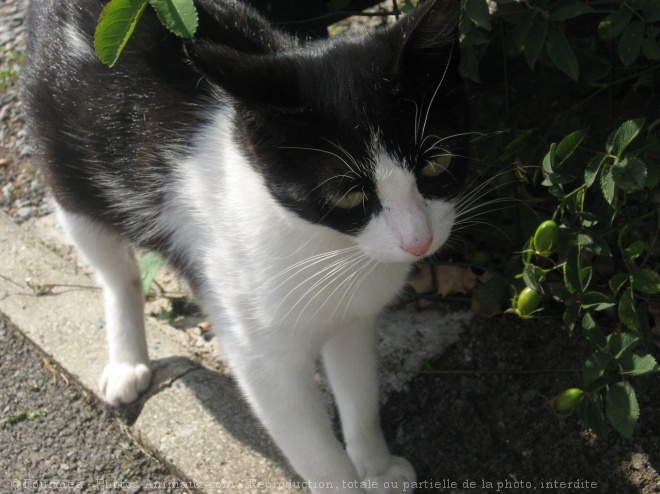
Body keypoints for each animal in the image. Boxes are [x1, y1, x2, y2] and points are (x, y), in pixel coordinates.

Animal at [23, 0, 472, 492]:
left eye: (436, 163)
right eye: (346, 195)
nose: (419, 240)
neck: (333, 248)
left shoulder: (353, 319)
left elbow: (360, 393)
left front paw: (376, 467)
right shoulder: (260, 356)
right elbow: (316, 454)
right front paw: (345, 477)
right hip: (69, 176)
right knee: (114, 272)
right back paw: (126, 361)